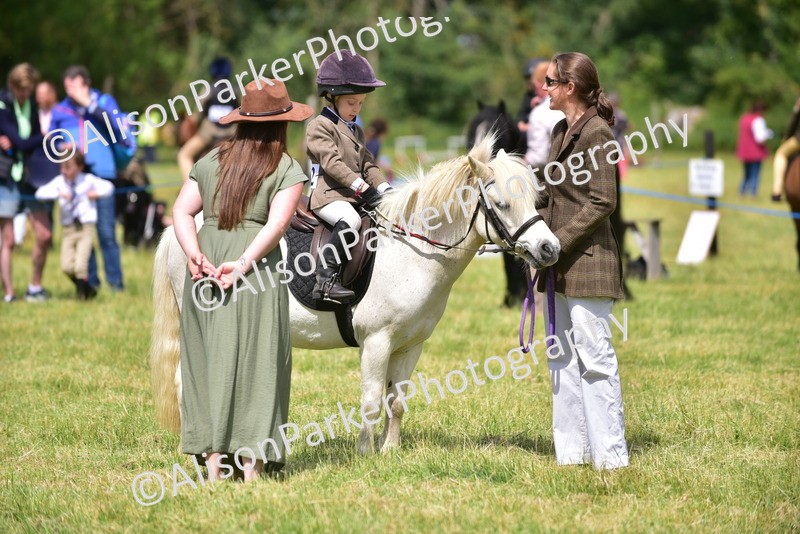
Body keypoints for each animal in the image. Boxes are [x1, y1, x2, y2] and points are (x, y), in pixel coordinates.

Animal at [149, 135, 560, 455]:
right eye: (502, 204)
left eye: (535, 200)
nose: (549, 249)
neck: (411, 252)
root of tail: (185, 227)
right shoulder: (376, 341)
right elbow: (371, 401)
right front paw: (365, 452)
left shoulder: (410, 346)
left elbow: (396, 401)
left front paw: (390, 450)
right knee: (186, 383)